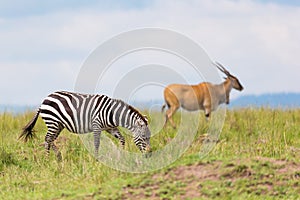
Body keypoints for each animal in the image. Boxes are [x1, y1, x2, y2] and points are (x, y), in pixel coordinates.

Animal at [19, 91, 151, 160]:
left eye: (149, 138)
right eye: (144, 138)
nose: (149, 155)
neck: (112, 114)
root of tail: (44, 100)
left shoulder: (110, 128)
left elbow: (122, 139)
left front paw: (121, 155)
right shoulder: (97, 125)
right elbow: (97, 143)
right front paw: (96, 159)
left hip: (59, 125)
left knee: (51, 139)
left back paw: (58, 157)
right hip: (53, 122)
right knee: (47, 139)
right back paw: (47, 158)